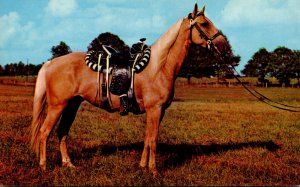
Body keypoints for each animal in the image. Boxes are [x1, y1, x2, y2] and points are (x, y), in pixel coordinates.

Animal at [29, 3, 232, 175]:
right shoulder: (154, 109)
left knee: (61, 132)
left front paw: (143, 166)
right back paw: (44, 166)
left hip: (72, 105)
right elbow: (153, 140)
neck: (159, 66)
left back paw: (68, 164)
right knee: (44, 132)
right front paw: (154, 171)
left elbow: (148, 138)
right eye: (204, 23)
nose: (224, 45)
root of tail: (52, 62)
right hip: (58, 106)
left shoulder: (159, 111)